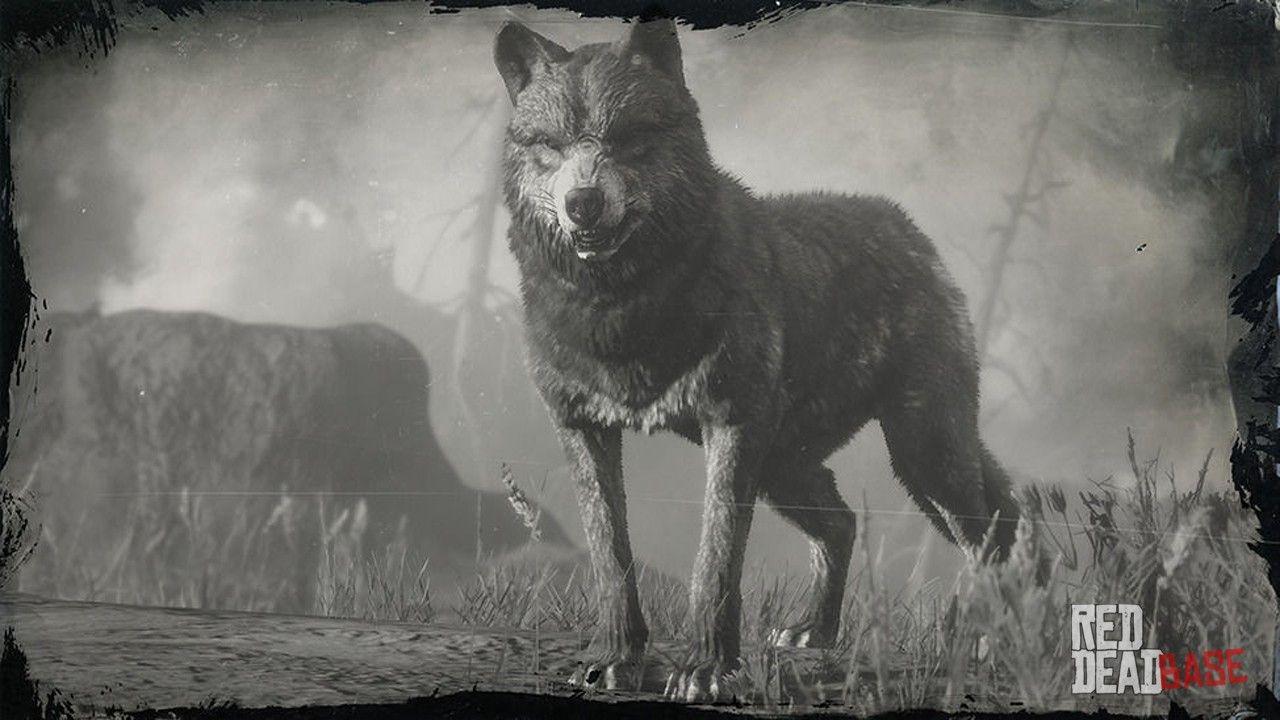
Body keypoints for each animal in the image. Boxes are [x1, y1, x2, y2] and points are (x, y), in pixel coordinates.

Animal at [494, 17, 1021, 700]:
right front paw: (615, 658)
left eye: (630, 138)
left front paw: (705, 669)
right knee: (847, 523)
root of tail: (909, 230)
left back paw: (987, 640)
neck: (625, 306)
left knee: (986, 531)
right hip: (791, 466)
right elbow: (611, 557)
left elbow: (714, 560)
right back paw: (814, 633)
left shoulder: (733, 428)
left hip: (921, 454)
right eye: (550, 145)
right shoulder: (582, 429)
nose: (582, 202)